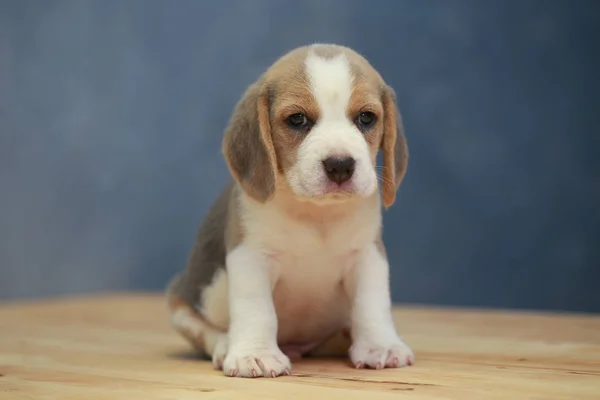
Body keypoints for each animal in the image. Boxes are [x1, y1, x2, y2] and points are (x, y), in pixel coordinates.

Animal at [166, 43, 414, 378]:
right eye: (297, 120)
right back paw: (225, 345)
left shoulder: (367, 255)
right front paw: (255, 354)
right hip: (180, 302)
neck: (316, 214)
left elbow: (371, 304)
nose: (340, 165)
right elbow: (257, 309)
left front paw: (380, 345)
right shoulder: (251, 257)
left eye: (366, 118)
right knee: (205, 331)